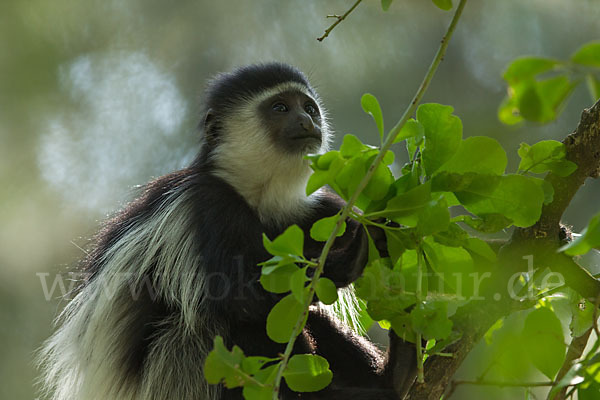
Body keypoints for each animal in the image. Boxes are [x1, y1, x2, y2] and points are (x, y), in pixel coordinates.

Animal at [38, 63, 412, 400]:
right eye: (280, 108)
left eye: (308, 108)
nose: (309, 122)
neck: (255, 194)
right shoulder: (207, 205)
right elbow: (238, 293)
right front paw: (346, 260)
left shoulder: (315, 211)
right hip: (179, 375)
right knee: (227, 320)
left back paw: (394, 376)